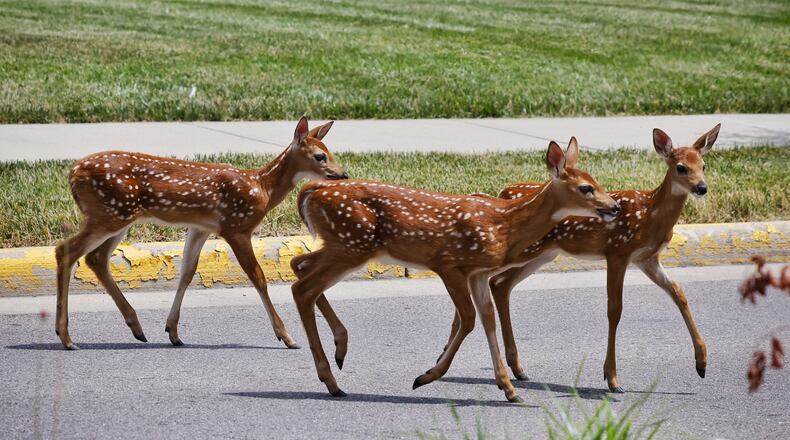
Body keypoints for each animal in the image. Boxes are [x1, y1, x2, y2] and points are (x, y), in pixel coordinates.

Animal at [56, 116, 348, 350]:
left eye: (330, 152)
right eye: (320, 156)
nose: (342, 175)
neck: (261, 187)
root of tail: (72, 173)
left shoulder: (200, 228)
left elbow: (187, 272)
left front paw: (173, 332)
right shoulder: (236, 227)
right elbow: (258, 277)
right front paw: (287, 337)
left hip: (118, 217)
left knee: (95, 258)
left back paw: (135, 327)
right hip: (109, 213)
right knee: (66, 251)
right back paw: (67, 338)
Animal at [289, 138, 621, 402]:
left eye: (599, 182)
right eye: (586, 188)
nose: (615, 206)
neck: (503, 226)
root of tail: (310, 190)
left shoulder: (479, 272)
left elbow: (487, 319)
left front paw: (509, 388)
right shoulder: (448, 263)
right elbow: (469, 319)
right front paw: (426, 376)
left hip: (343, 245)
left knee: (300, 267)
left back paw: (339, 352)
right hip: (352, 244)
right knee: (302, 288)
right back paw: (331, 380)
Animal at [481, 124, 720, 393]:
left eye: (704, 165)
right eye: (681, 167)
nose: (701, 188)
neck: (650, 214)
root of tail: (504, 191)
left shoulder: (646, 259)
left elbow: (679, 293)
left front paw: (702, 362)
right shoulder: (617, 251)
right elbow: (614, 310)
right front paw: (612, 379)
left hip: (544, 254)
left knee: (500, 284)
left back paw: (518, 368)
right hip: (527, 251)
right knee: (492, 280)